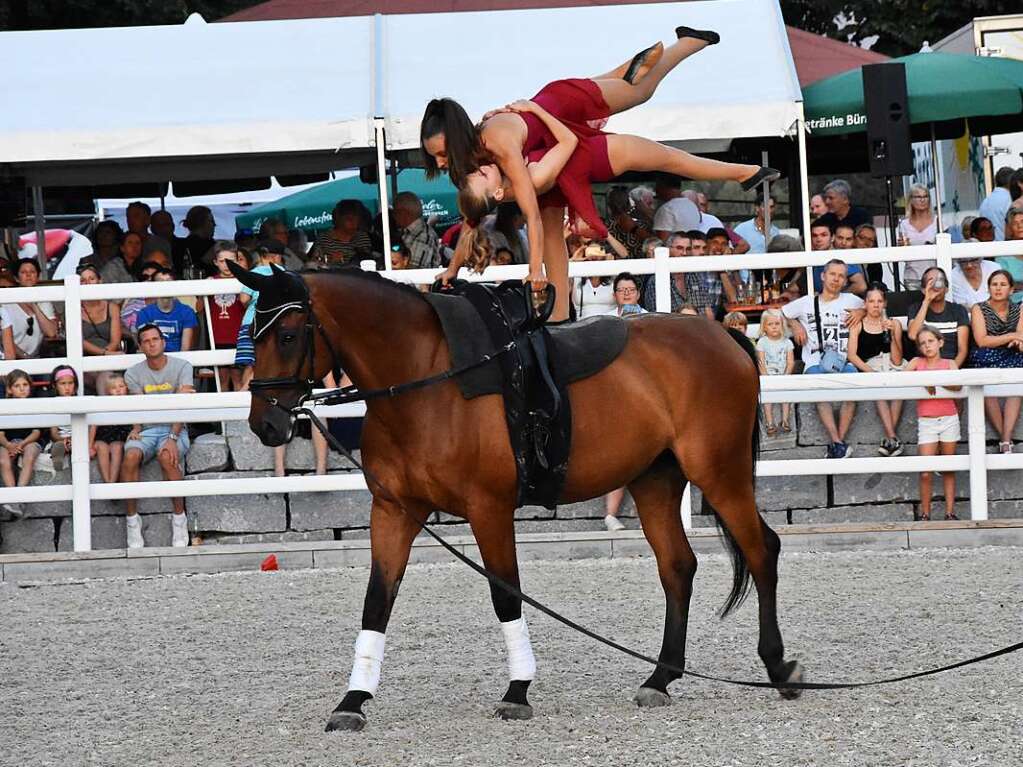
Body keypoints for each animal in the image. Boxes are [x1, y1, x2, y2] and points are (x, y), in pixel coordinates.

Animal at [230, 263, 797, 732]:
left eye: (287, 334)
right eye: (251, 337)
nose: (265, 425)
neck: (427, 380)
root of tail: (721, 333)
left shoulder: (489, 509)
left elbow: (505, 594)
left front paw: (518, 690)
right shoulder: (393, 511)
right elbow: (377, 601)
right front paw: (353, 700)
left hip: (720, 474)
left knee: (762, 550)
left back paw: (777, 665)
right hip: (655, 482)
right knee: (678, 566)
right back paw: (660, 678)